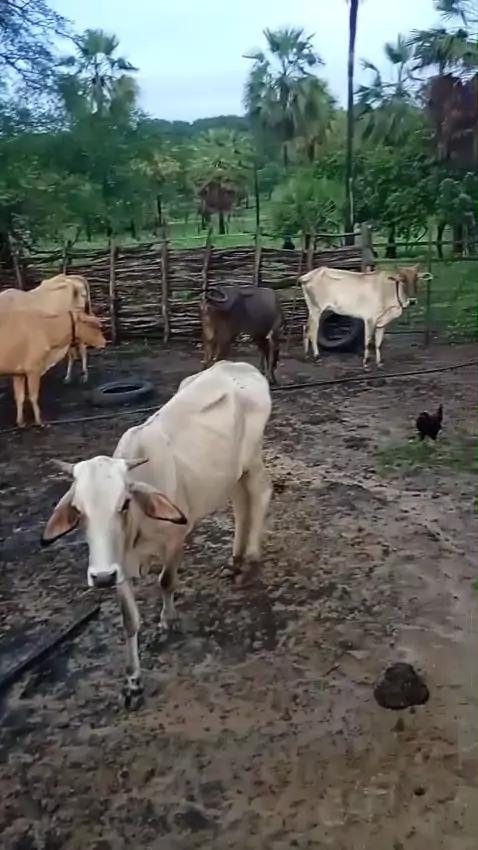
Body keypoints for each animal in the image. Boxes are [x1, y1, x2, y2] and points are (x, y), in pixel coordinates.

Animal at [41, 360, 273, 707]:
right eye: (79, 511)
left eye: (124, 503)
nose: (100, 577)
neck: (137, 527)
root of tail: (239, 365)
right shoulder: (119, 565)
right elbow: (128, 620)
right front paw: (133, 683)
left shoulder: (176, 539)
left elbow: (166, 581)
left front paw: (167, 623)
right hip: (231, 472)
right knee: (241, 503)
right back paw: (236, 560)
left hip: (253, 459)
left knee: (260, 493)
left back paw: (252, 561)